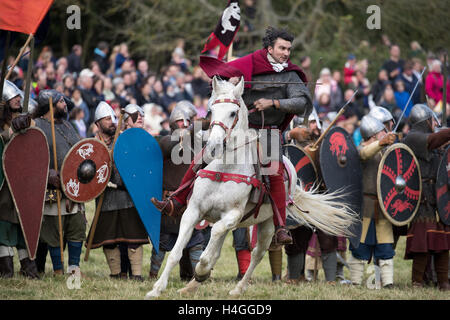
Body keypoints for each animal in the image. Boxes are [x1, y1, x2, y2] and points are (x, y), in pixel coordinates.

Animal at [147, 76, 358, 298]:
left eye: (233, 112)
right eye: (211, 110)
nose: (213, 146)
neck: (225, 167)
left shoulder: (232, 216)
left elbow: (209, 250)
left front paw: (201, 270)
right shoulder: (193, 211)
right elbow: (177, 252)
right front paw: (157, 289)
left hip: (268, 225)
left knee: (257, 254)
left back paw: (238, 288)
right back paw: (191, 286)